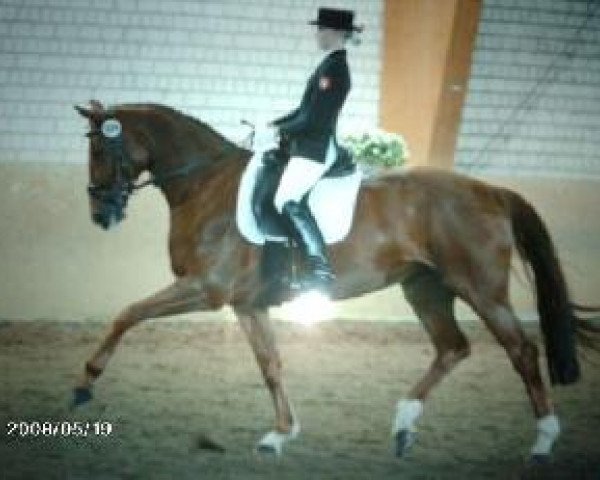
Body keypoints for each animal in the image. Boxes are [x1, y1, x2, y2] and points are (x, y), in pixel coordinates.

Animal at [72, 100, 596, 462]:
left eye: (99, 147)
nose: (99, 214)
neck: (207, 185)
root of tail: (492, 191)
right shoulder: (247, 304)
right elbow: (270, 365)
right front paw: (279, 435)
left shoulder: (206, 289)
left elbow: (126, 314)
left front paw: (84, 384)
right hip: (425, 287)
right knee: (453, 347)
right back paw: (404, 426)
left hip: (480, 288)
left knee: (521, 351)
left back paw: (542, 444)